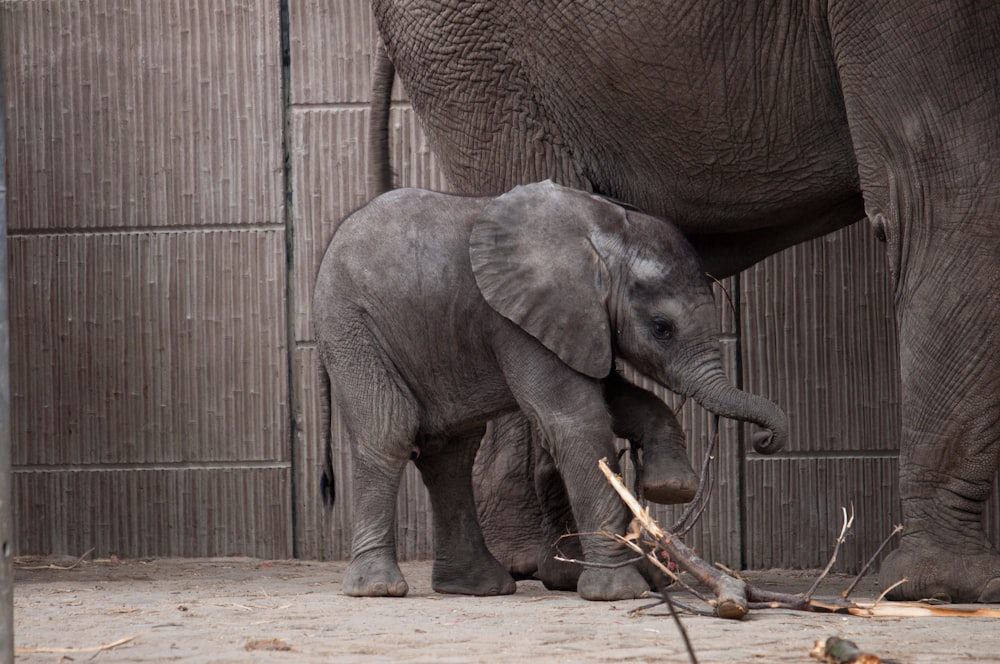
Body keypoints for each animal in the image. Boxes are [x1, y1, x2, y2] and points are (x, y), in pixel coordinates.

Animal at [314, 178, 788, 600]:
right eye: (662, 329)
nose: (765, 440)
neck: (604, 232)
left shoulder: (577, 321)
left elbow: (621, 398)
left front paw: (669, 487)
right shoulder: (516, 320)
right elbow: (575, 419)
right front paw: (619, 592)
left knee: (450, 452)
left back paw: (480, 588)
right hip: (352, 327)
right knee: (389, 431)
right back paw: (378, 589)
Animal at [368, 0, 1000, 600]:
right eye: (663, 330)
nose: (766, 441)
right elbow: (953, 198)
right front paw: (945, 587)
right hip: (479, 64)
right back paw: (558, 568)